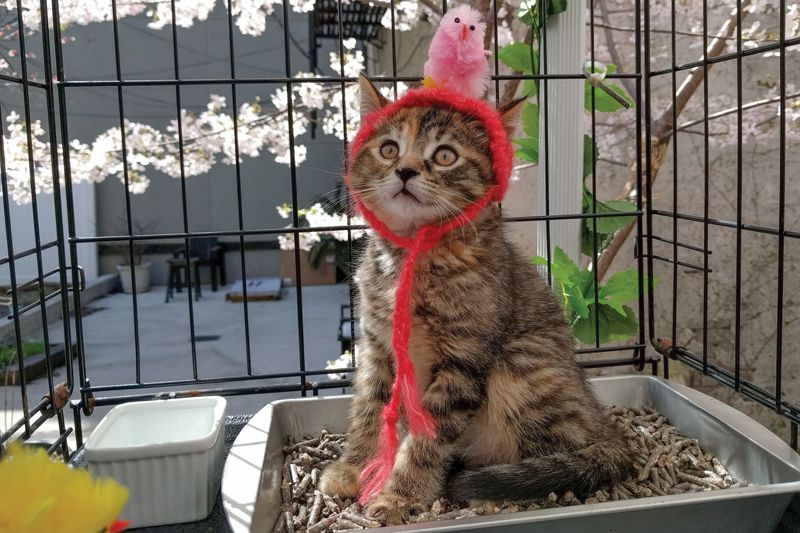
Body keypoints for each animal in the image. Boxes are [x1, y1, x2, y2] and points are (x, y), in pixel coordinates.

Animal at [316, 76, 636, 524]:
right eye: (389, 148)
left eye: (445, 155)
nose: (404, 170)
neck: (413, 255)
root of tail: (603, 423)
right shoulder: (378, 345)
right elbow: (371, 406)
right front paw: (356, 466)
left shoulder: (464, 358)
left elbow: (428, 436)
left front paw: (401, 495)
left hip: (521, 366)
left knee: (561, 455)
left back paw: (494, 495)